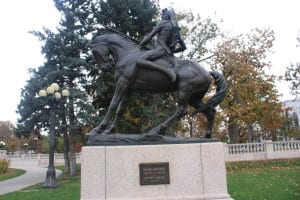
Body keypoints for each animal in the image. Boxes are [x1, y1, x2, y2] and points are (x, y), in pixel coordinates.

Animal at [89, 33, 227, 138]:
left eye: (94, 51)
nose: (105, 67)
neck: (128, 55)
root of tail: (207, 72)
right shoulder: (129, 89)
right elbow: (120, 110)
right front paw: (110, 131)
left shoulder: (122, 83)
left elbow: (112, 105)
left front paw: (98, 129)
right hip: (195, 98)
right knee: (210, 111)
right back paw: (206, 135)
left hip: (184, 90)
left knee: (182, 110)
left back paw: (156, 130)